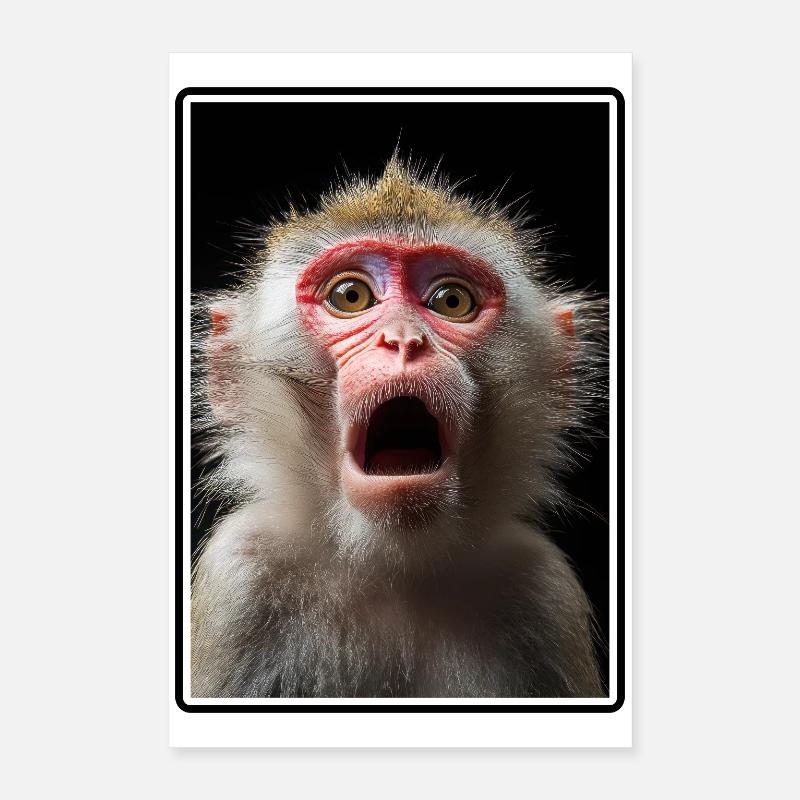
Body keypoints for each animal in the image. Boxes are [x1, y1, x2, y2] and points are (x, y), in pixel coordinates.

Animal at [190, 157, 608, 698]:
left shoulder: (542, 591)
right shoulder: (241, 575)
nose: (405, 340)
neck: (392, 565)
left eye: (451, 301)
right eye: (351, 296)